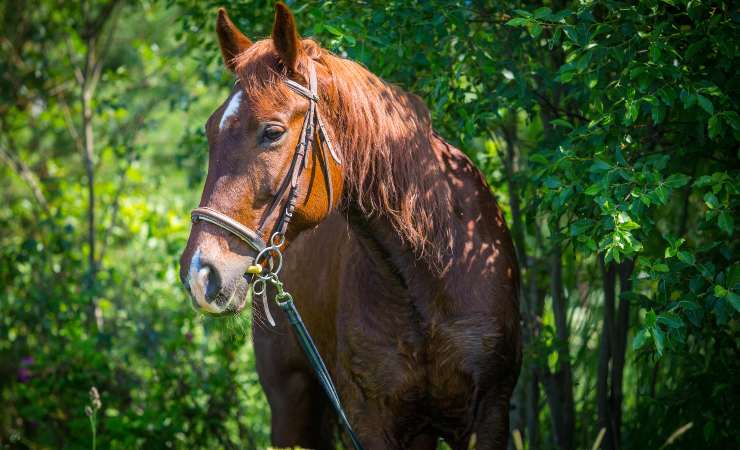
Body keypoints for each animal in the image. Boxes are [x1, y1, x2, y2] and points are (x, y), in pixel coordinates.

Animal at [179, 4, 521, 449]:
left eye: (272, 132)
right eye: (210, 130)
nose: (200, 274)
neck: (432, 272)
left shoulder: (490, 413)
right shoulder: (370, 420)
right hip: (293, 407)